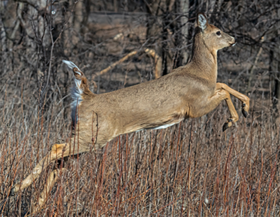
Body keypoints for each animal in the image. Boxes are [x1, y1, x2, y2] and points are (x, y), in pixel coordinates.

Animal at [6, 13, 249, 214]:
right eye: (218, 32)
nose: (234, 39)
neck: (201, 73)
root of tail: (85, 97)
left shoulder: (201, 100)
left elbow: (223, 85)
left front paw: (243, 110)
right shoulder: (196, 106)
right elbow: (224, 89)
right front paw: (233, 119)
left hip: (84, 136)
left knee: (59, 163)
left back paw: (34, 207)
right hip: (93, 136)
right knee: (55, 148)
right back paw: (16, 187)